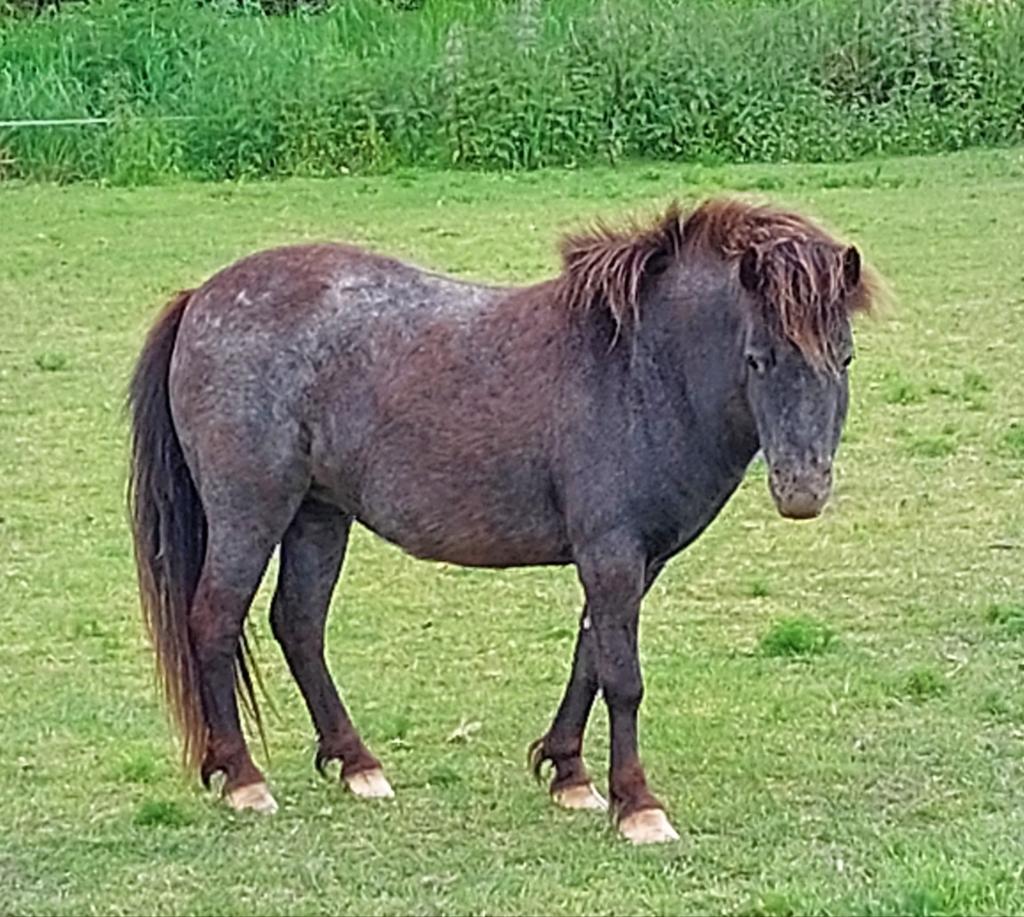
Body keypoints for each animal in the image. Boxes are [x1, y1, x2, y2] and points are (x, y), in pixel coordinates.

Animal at [128, 197, 876, 844]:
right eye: (758, 359)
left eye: (843, 358)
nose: (802, 490)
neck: (638, 370)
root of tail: (201, 297)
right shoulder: (611, 553)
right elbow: (623, 677)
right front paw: (637, 805)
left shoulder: (632, 561)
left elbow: (589, 660)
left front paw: (569, 774)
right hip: (250, 513)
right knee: (215, 622)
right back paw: (243, 778)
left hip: (319, 514)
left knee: (300, 625)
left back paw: (358, 764)